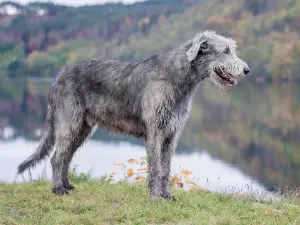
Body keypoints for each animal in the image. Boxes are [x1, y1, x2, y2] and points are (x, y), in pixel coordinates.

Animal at [17, 30, 250, 200]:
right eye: (226, 50)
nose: (247, 70)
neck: (178, 78)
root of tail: (57, 76)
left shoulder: (172, 134)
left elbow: (166, 167)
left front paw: (166, 195)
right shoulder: (155, 131)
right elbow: (155, 167)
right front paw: (155, 196)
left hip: (82, 128)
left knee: (66, 157)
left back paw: (67, 185)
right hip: (69, 122)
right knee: (57, 157)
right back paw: (58, 189)